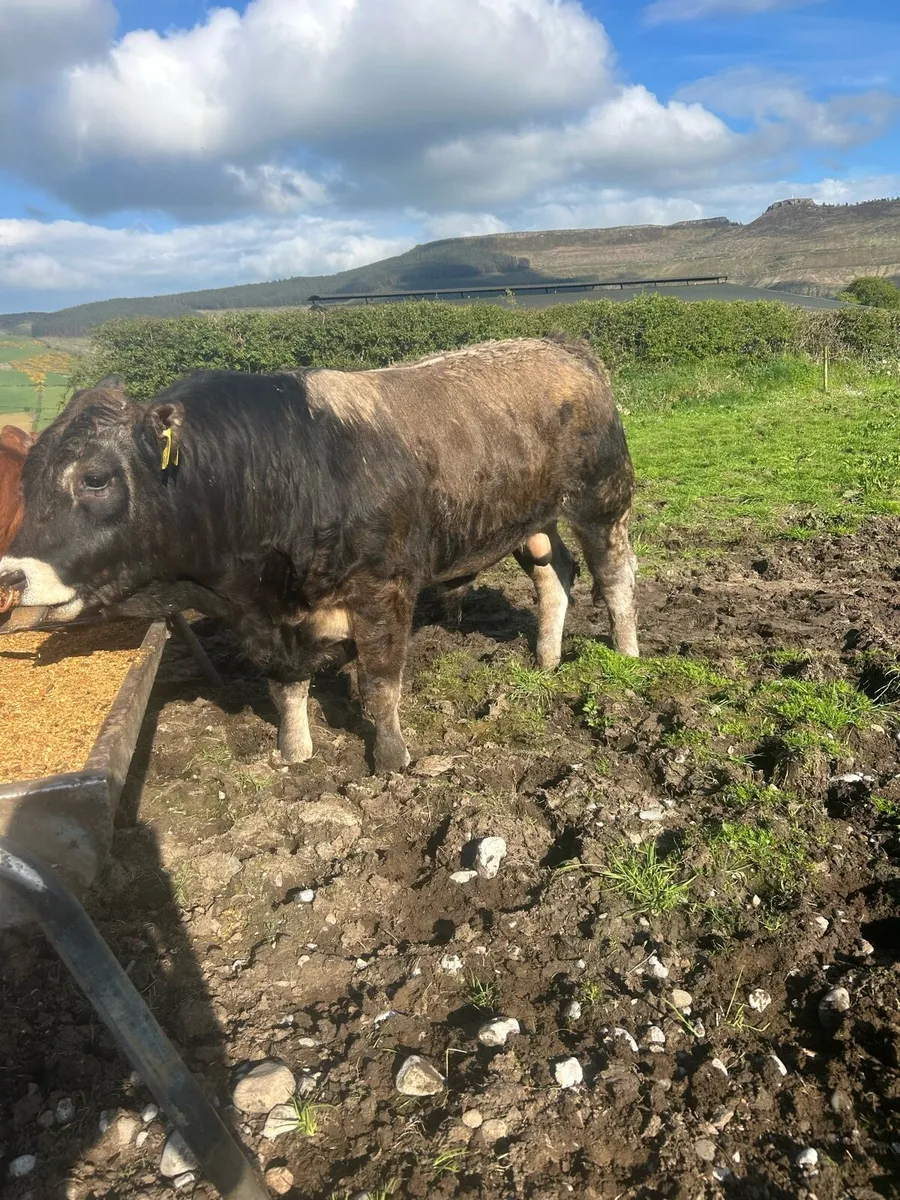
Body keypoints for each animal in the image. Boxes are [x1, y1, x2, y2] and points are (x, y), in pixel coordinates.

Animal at [0, 338, 639, 773]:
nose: (12, 575)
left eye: (95, 478)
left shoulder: (384, 590)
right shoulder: (265, 618)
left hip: (601, 501)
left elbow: (381, 682)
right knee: (556, 573)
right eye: (25, 482)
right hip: (534, 522)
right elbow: (286, 687)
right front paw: (294, 751)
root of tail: (560, 347)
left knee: (614, 577)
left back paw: (628, 657)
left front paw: (391, 757)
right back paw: (547, 659)